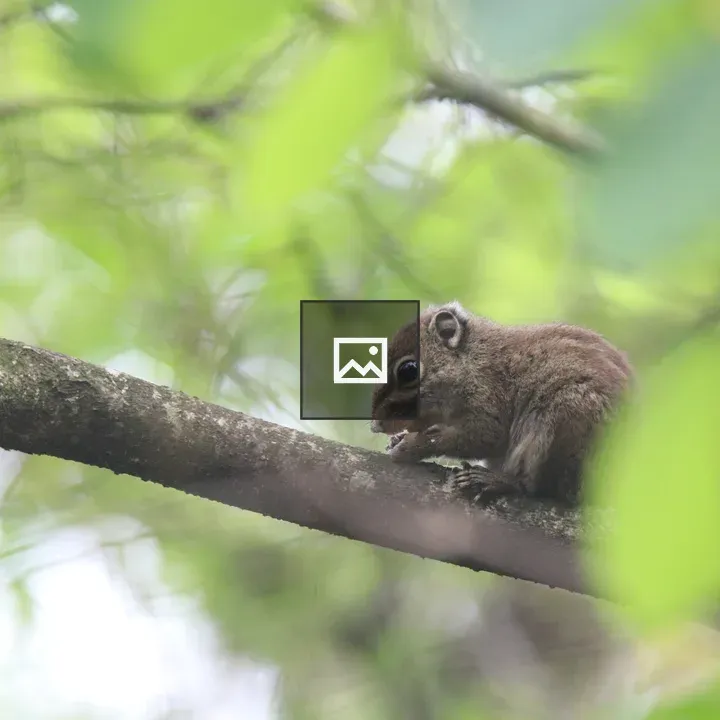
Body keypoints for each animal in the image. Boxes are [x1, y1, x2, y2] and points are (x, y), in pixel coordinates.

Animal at [370, 301, 633, 505]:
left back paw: (497, 481)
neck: (473, 360)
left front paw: (411, 446)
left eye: (408, 370)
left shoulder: (490, 401)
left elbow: (482, 436)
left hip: (567, 420)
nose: (375, 426)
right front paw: (398, 439)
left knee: (540, 487)